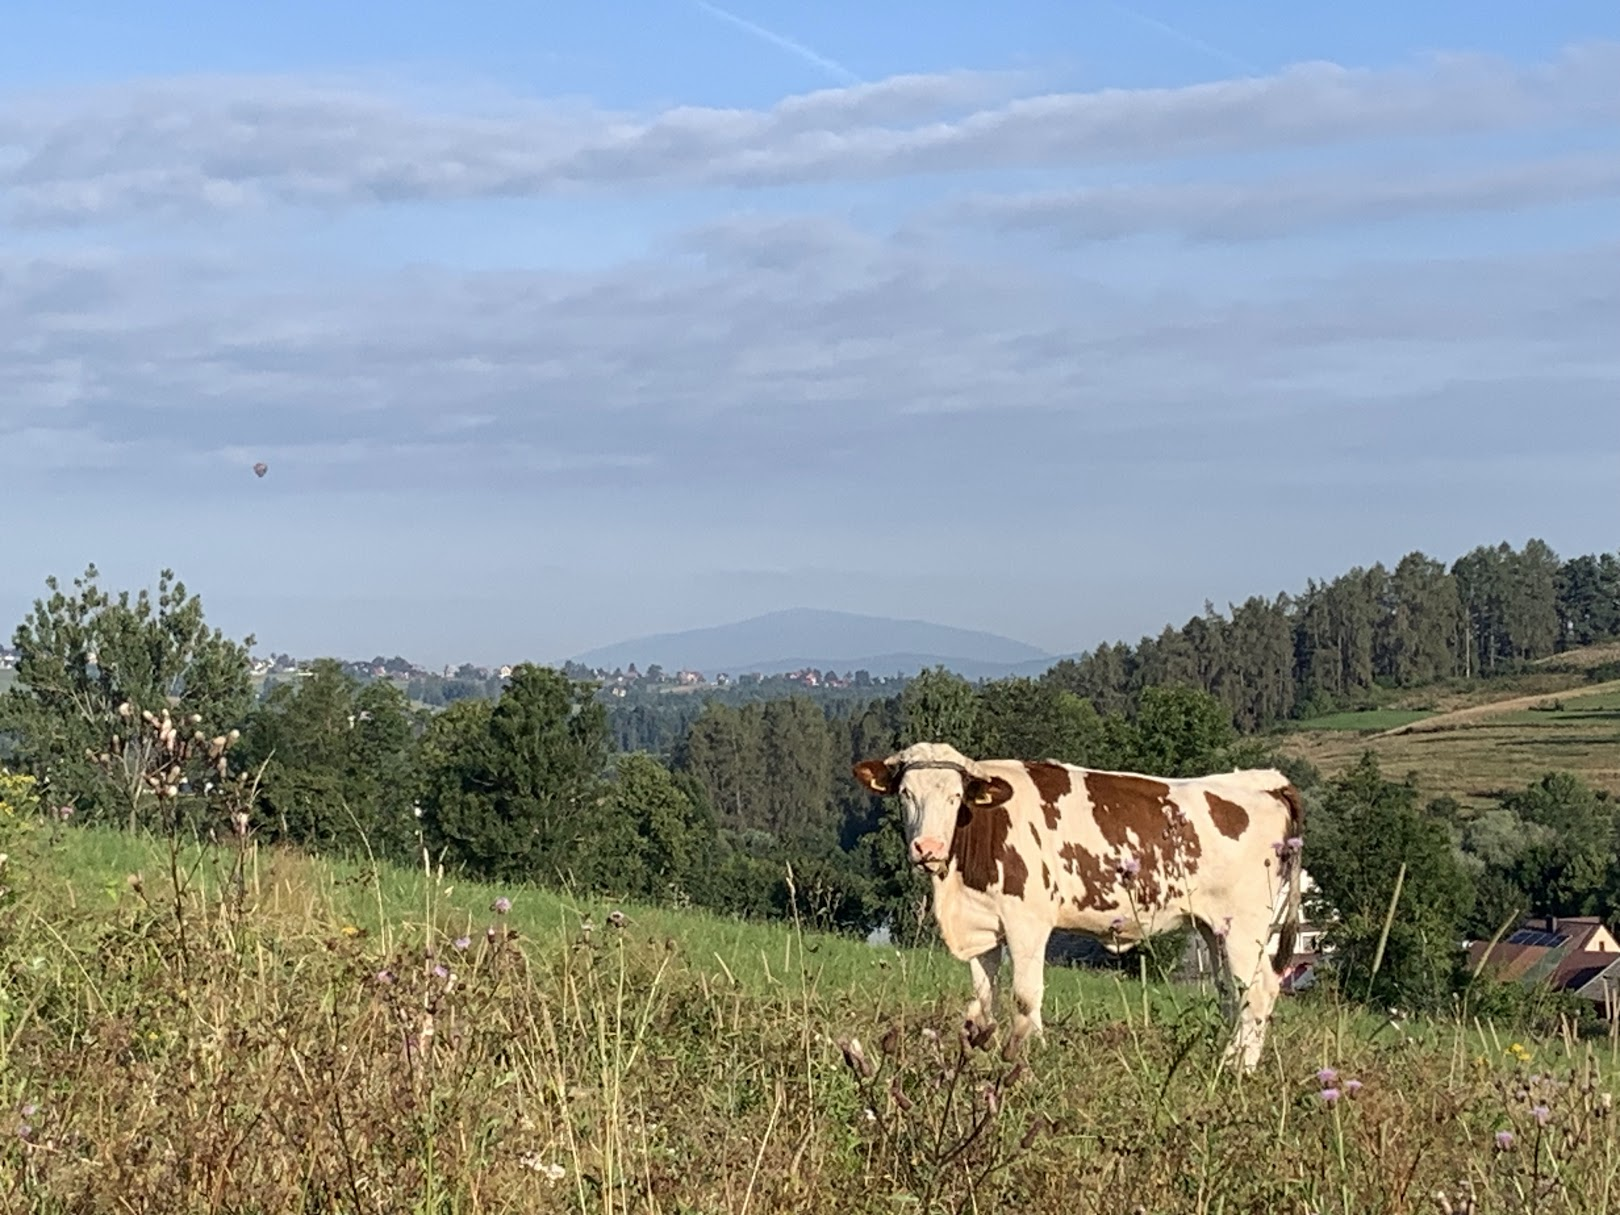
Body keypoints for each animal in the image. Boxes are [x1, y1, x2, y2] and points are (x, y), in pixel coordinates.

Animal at [855, 741, 1308, 1075]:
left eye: (955, 797)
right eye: (906, 794)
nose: (927, 848)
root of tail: (1264, 780)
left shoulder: (1027, 921)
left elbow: (1025, 995)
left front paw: (1027, 1056)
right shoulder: (984, 924)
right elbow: (982, 1002)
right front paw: (978, 1055)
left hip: (1247, 925)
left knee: (1260, 990)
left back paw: (1235, 1069)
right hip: (1215, 928)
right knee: (1233, 993)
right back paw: (1225, 1058)